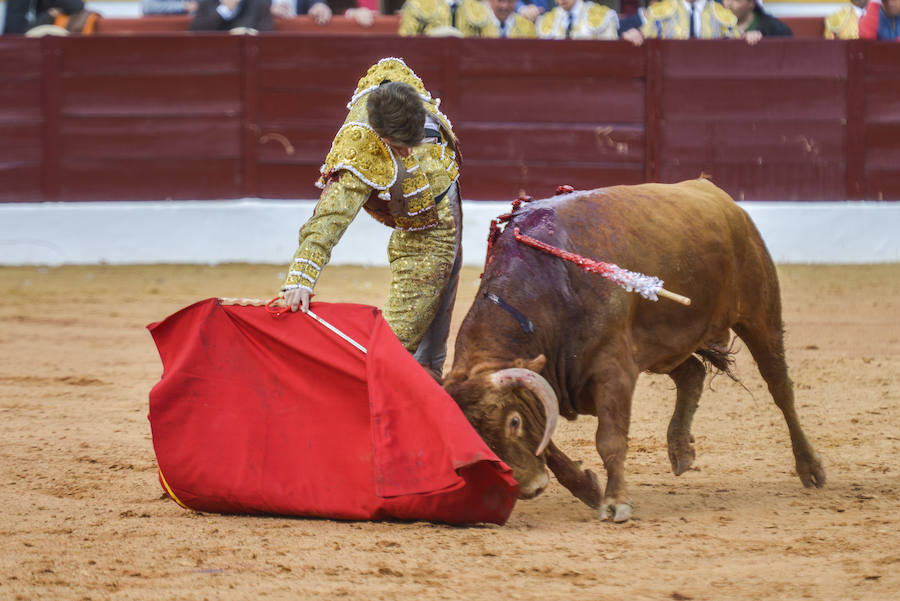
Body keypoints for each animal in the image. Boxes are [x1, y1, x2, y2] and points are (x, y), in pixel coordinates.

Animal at [442, 177, 824, 520]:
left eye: (514, 422)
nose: (530, 488)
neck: (548, 290)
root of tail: (719, 196)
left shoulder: (614, 369)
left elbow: (609, 438)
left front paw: (616, 503)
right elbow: (549, 445)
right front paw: (589, 489)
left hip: (760, 315)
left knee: (780, 388)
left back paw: (811, 469)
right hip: (664, 344)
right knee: (692, 373)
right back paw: (680, 450)